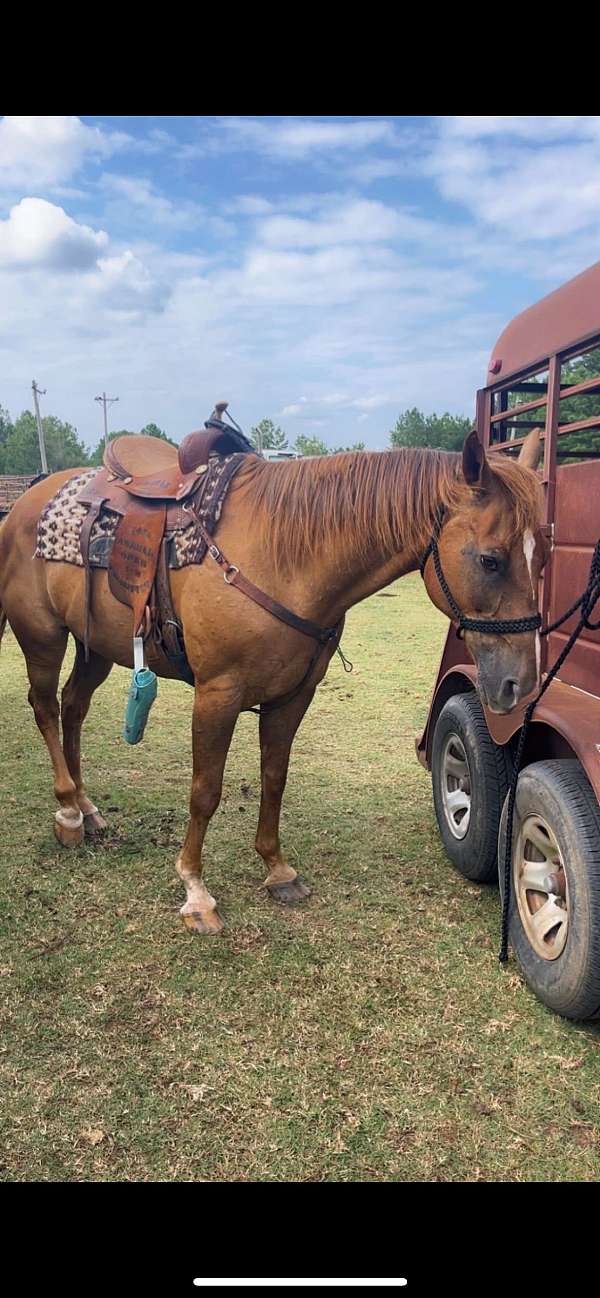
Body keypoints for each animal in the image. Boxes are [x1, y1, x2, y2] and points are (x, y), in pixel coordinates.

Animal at [0, 428, 544, 935]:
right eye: (490, 560)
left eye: (541, 556)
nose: (520, 683)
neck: (282, 556)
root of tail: (24, 502)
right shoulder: (216, 695)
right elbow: (205, 791)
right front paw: (195, 890)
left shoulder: (293, 696)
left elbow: (274, 777)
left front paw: (276, 869)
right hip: (43, 638)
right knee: (46, 708)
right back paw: (68, 811)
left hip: (95, 645)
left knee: (73, 707)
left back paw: (88, 808)